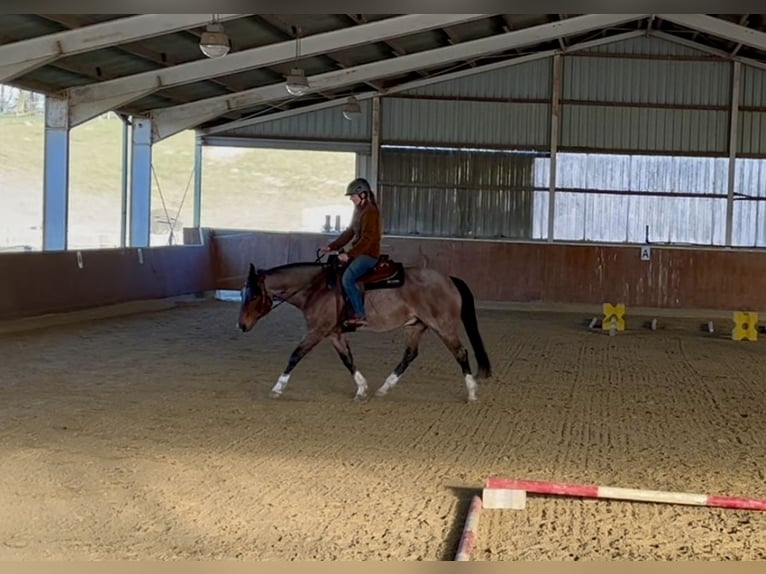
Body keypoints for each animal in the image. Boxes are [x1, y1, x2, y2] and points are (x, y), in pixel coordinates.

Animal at [236, 253, 491, 403]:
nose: (241, 325)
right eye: (242, 292)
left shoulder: (317, 331)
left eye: (253, 295)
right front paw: (361, 389)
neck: (316, 287)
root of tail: (449, 279)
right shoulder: (334, 334)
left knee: (461, 353)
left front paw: (277, 388)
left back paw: (472, 393)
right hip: (415, 327)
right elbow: (347, 359)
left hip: (443, 327)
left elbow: (295, 356)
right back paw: (384, 388)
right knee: (409, 355)